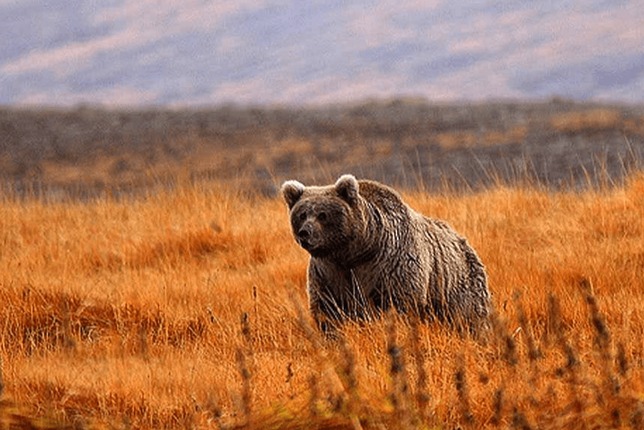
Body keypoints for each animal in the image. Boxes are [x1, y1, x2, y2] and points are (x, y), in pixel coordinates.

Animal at [280, 174, 490, 332]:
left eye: (323, 215)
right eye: (302, 214)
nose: (305, 233)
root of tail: (466, 244)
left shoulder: (391, 264)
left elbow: (402, 303)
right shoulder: (328, 271)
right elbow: (327, 309)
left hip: (458, 287)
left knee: (470, 318)